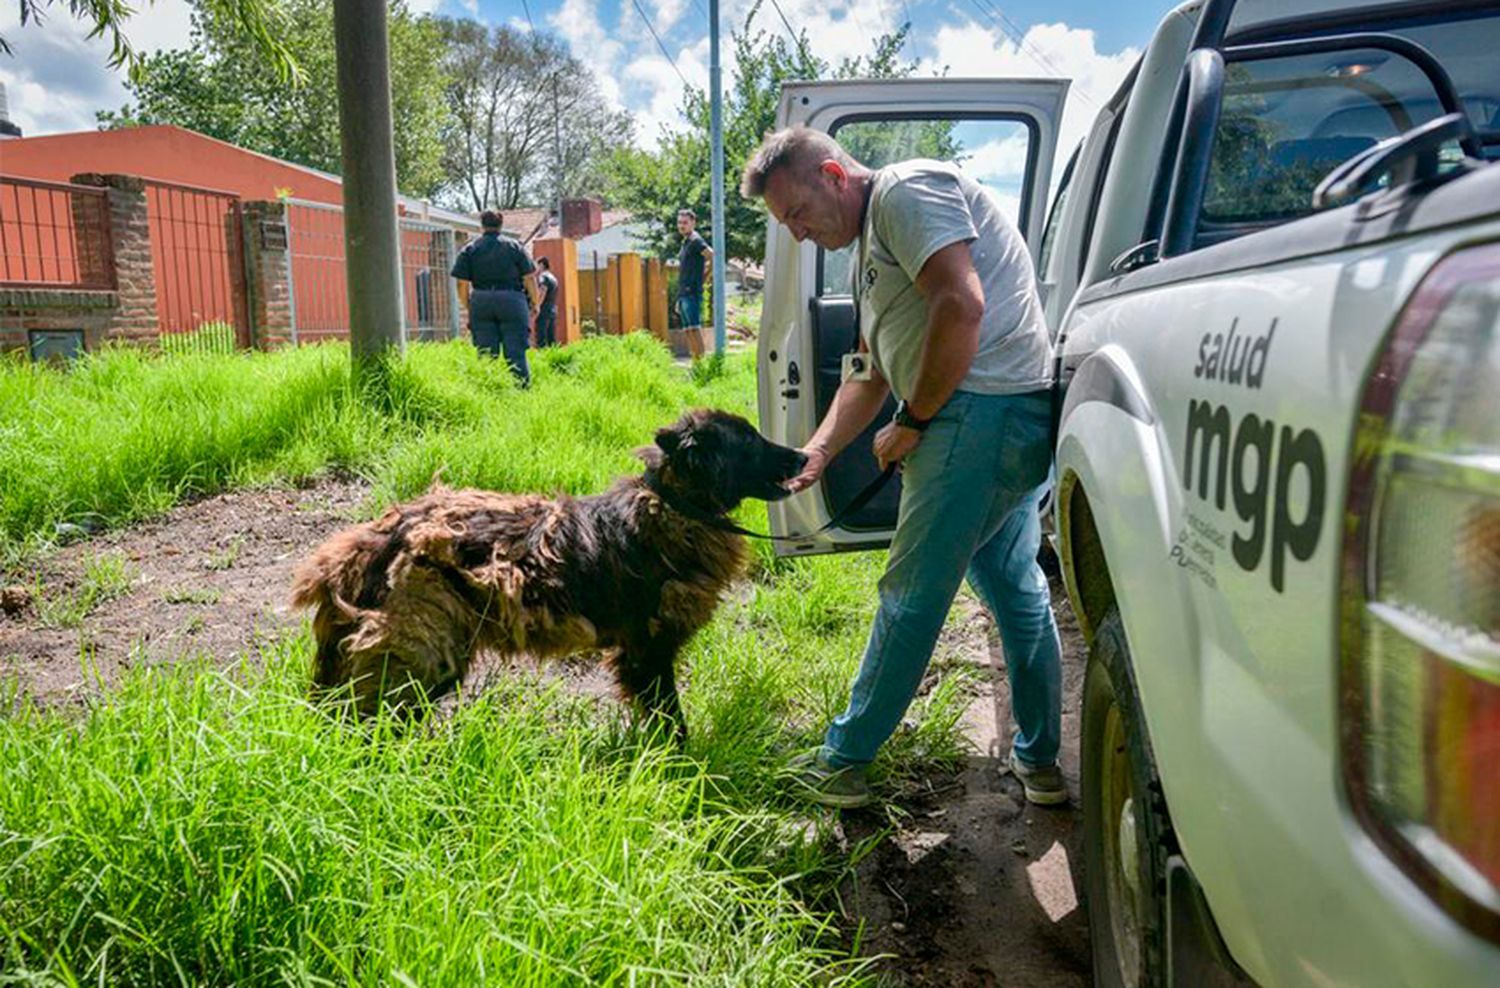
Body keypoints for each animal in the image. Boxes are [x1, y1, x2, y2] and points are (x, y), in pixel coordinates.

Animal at [289, 404, 810, 737]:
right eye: (750, 441)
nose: (805, 456)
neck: (674, 504)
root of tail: (384, 533)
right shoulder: (648, 652)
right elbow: (673, 725)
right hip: (424, 656)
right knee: (369, 723)